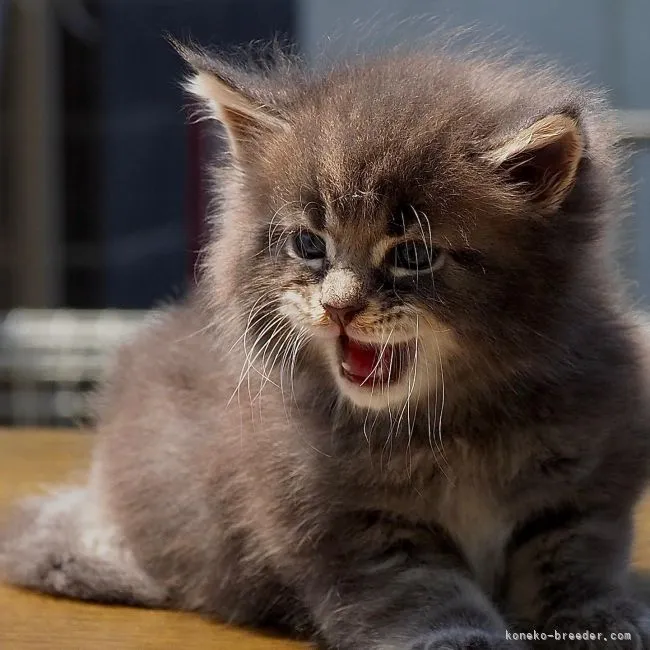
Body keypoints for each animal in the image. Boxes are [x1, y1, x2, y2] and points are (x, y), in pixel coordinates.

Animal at [1, 41, 648, 648]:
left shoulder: (587, 485)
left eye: (414, 254)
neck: (451, 427)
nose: (339, 308)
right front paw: (460, 637)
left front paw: (604, 617)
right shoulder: (346, 525)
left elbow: (574, 562)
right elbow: (420, 589)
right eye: (310, 245)